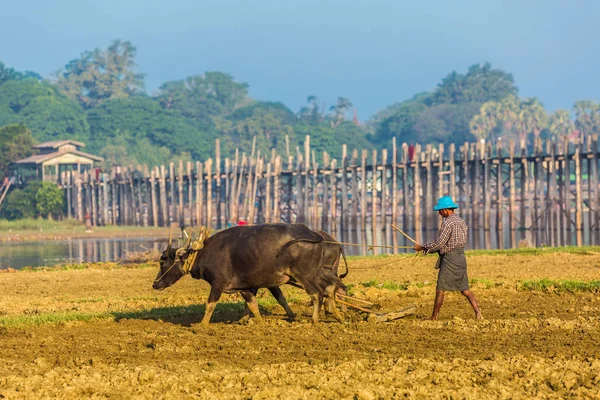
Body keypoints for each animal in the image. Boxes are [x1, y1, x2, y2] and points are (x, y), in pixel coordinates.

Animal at [152, 223, 344, 326]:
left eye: (162, 261)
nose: (155, 284)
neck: (205, 253)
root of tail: (313, 234)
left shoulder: (218, 284)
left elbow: (210, 304)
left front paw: (202, 325)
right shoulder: (244, 286)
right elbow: (252, 304)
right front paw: (256, 321)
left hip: (306, 275)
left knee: (318, 294)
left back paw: (315, 320)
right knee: (331, 289)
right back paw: (336, 314)